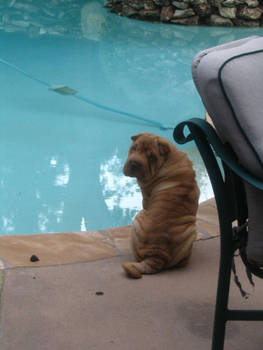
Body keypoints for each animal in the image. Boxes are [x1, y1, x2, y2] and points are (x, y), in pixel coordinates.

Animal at [122, 133, 200, 278]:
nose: (134, 163)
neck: (169, 160)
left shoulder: (145, 198)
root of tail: (155, 256)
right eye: (134, 148)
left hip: (138, 218)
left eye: (151, 157)